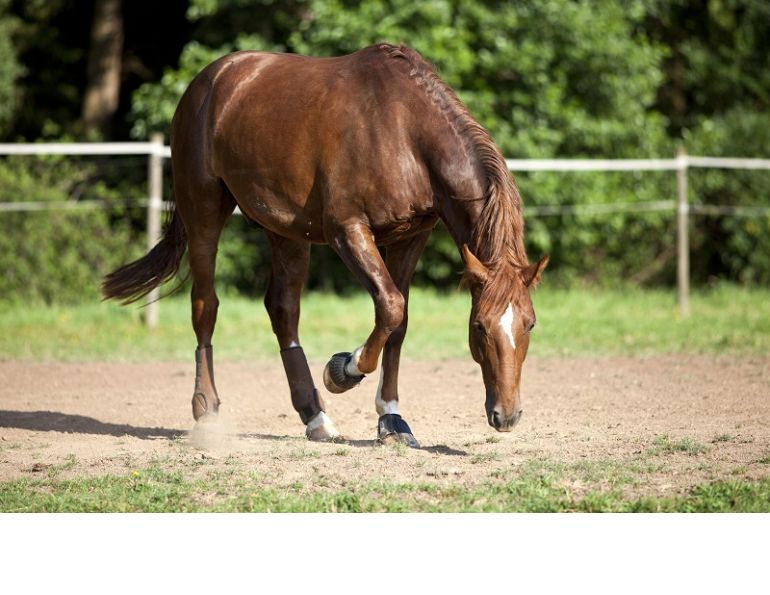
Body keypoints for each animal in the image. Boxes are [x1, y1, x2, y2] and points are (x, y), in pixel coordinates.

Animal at [103, 43, 548, 448]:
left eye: (529, 324)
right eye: (479, 326)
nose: (507, 415)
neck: (404, 131)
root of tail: (209, 80)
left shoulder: (410, 236)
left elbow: (398, 322)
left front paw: (392, 420)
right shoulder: (347, 230)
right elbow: (389, 306)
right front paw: (342, 371)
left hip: (285, 231)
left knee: (283, 311)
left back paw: (315, 417)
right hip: (204, 213)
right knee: (205, 305)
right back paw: (207, 412)